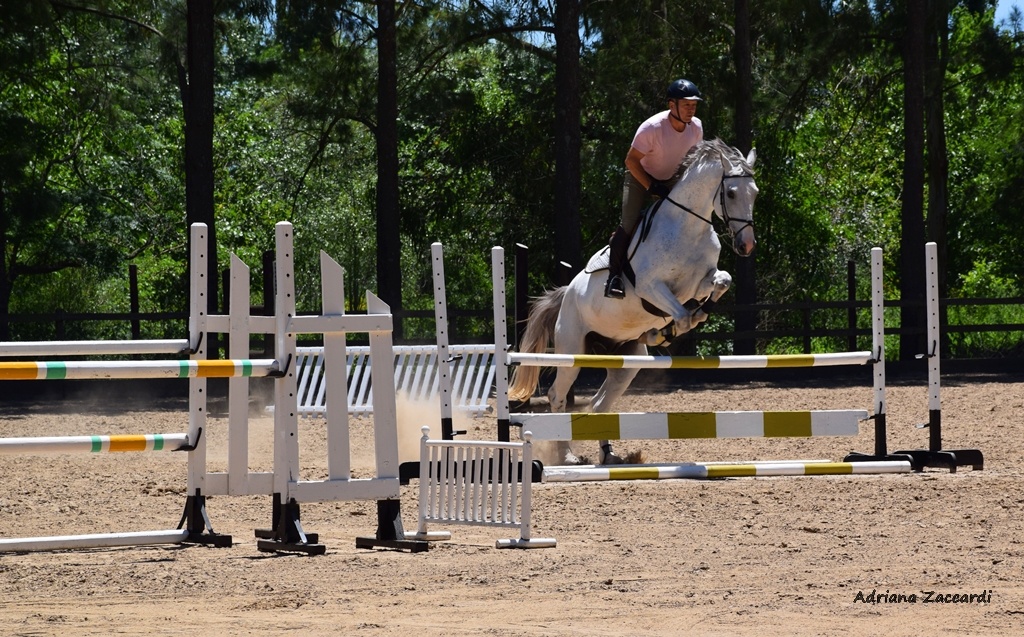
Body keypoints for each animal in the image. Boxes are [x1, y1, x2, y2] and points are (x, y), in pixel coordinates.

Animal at [507, 139, 757, 466]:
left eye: (755, 193)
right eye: (731, 193)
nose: (746, 245)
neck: (688, 228)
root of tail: (566, 295)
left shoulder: (699, 281)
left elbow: (720, 282)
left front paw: (691, 318)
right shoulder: (651, 288)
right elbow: (680, 314)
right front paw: (672, 329)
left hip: (624, 363)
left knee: (600, 405)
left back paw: (608, 455)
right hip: (572, 352)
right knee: (557, 397)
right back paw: (567, 457)